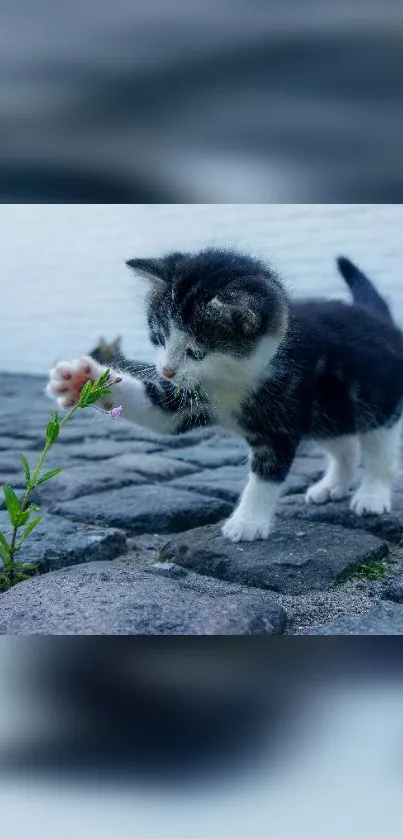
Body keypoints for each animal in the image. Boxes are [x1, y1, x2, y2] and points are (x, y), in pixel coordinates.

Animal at [45, 248, 403, 544]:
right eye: (159, 337)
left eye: (196, 352)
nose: (166, 371)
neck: (232, 380)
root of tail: (379, 320)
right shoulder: (187, 398)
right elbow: (158, 412)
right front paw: (81, 380)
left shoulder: (282, 416)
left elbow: (267, 473)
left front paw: (247, 522)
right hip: (328, 412)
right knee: (345, 446)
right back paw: (333, 486)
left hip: (375, 403)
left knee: (379, 453)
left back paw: (371, 495)